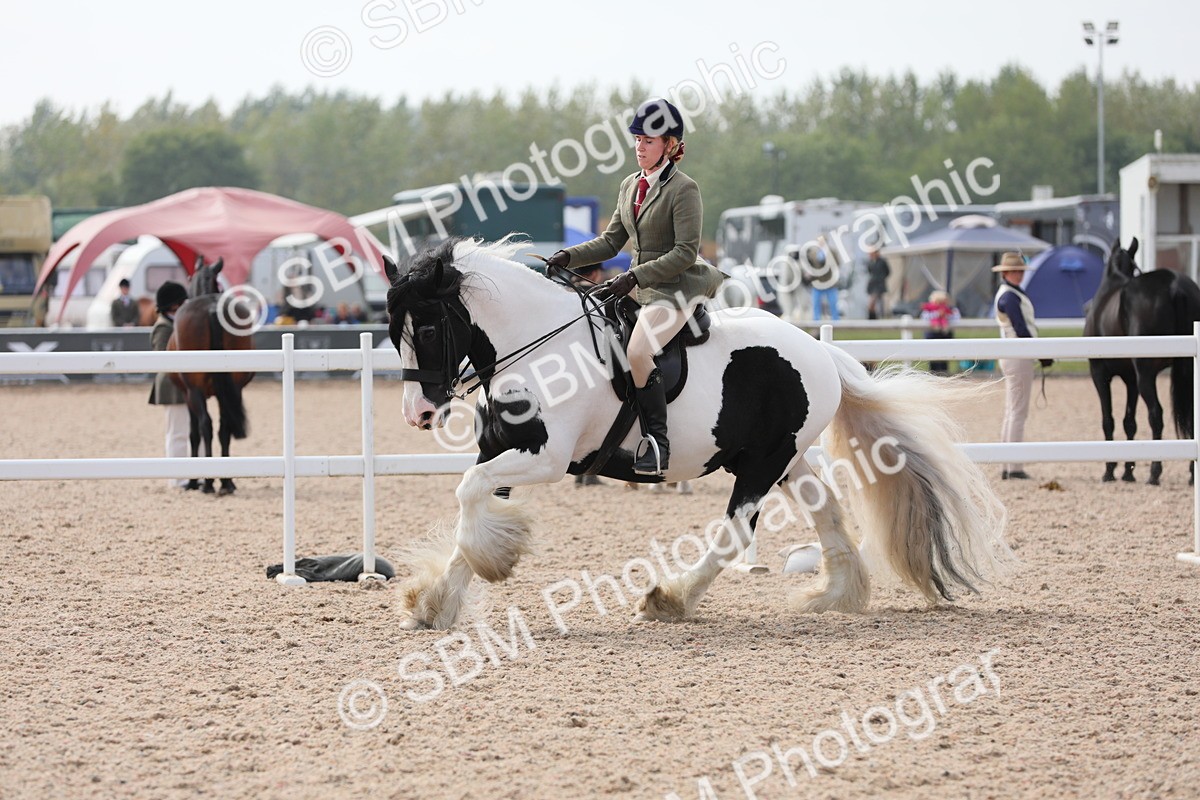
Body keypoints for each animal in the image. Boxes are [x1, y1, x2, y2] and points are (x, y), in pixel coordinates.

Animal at [167, 258, 254, 495]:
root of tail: (212, 308)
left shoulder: (187, 394)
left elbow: (194, 433)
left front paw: (194, 482)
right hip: (234, 389)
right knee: (224, 427)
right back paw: (226, 482)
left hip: (194, 391)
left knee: (205, 425)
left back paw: (207, 483)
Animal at [383, 237, 1011, 630]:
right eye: (393, 331)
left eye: (431, 327)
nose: (418, 413)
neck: (540, 344)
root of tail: (820, 352)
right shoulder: (502, 447)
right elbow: (472, 508)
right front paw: (437, 601)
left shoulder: (546, 455)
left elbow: (468, 492)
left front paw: (489, 565)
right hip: (786, 459)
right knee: (827, 511)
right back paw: (835, 595)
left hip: (761, 464)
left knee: (735, 533)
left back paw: (670, 598)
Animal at [1084, 238, 1200, 484]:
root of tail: (1175, 286)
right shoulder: (1130, 379)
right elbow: (1130, 422)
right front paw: (1128, 471)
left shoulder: (1100, 374)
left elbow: (1108, 419)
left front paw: (1109, 470)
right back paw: (1191, 474)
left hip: (1146, 374)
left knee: (1156, 414)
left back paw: (1155, 472)